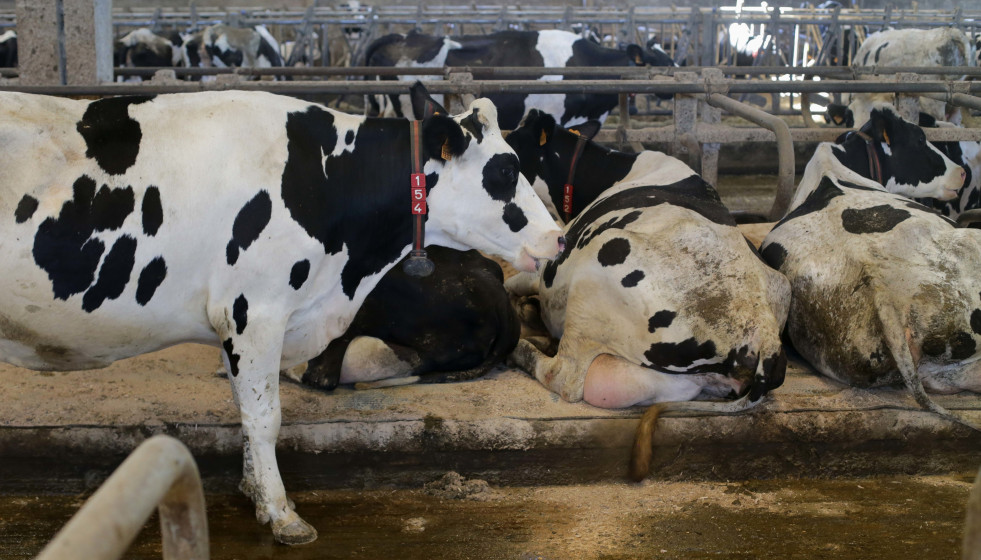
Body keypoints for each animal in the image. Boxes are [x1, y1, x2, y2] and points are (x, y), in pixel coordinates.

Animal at [504, 110, 791, 481]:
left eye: (511, 144)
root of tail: (763, 332)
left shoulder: (550, 262)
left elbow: (513, 280)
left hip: (600, 264)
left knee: (563, 376)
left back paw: (520, 348)